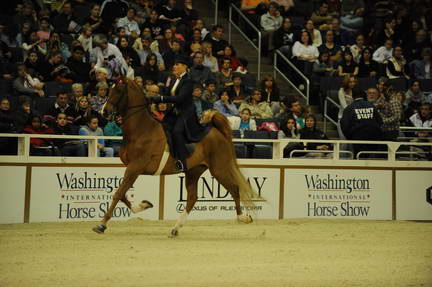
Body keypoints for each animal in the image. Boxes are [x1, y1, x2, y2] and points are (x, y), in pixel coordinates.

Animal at [92, 77, 256, 237]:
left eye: (119, 90)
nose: (104, 111)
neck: (141, 130)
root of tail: (217, 131)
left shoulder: (135, 168)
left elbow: (118, 193)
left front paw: (101, 225)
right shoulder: (131, 169)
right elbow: (122, 193)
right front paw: (144, 205)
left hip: (218, 169)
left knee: (234, 189)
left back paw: (243, 217)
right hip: (193, 171)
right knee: (192, 198)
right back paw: (175, 228)